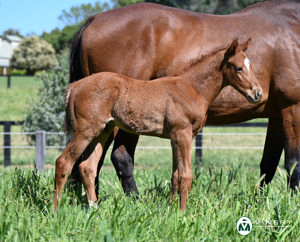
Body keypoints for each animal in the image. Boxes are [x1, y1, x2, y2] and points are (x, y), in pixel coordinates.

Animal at [54, 39, 262, 210]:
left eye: (250, 66)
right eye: (238, 68)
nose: (258, 93)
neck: (191, 89)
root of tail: (75, 86)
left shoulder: (174, 138)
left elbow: (175, 175)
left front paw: (169, 209)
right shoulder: (183, 133)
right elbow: (186, 176)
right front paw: (182, 213)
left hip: (103, 131)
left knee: (87, 167)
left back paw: (94, 208)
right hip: (86, 130)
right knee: (64, 162)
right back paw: (56, 210)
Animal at [69, 0, 300, 196]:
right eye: (239, 68)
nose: (257, 93)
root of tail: (93, 20)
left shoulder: (277, 115)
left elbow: (268, 164)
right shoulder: (292, 107)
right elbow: (293, 162)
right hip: (117, 123)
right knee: (116, 158)